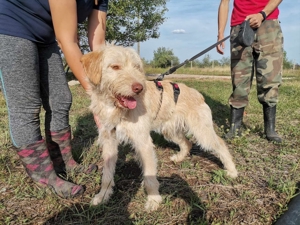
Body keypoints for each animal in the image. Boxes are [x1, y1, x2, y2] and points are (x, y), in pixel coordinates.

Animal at [81, 45, 238, 211]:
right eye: (115, 67)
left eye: (136, 67)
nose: (139, 88)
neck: (115, 109)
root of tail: (198, 93)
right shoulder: (109, 141)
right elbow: (107, 174)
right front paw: (103, 196)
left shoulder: (143, 142)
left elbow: (149, 176)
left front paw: (154, 200)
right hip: (169, 130)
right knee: (187, 143)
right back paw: (179, 157)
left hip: (202, 132)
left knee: (220, 144)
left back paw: (232, 170)